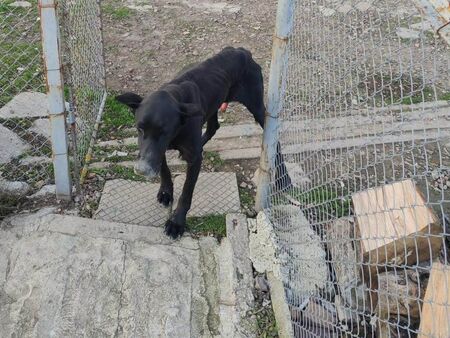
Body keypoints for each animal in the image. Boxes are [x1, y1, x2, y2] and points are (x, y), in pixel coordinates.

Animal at [116, 46, 292, 239]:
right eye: (139, 129)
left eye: (164, 132)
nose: (142, 170)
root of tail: (241, 51)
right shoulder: (155, 150)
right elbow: (164, 169)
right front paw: (165, 192)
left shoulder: (192, 159)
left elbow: (186, 192)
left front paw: (177, 223)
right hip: (213, 103)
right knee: (214, 126)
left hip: (258, 108)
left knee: (275, 142)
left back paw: (285, 179)